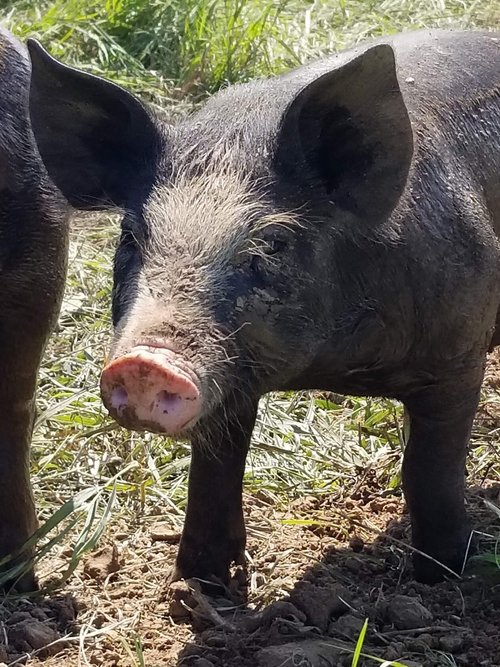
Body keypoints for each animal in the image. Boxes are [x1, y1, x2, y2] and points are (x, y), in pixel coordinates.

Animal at [28, 29, 500, 585]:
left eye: (273, 243)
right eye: (130, 236)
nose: (146, 363)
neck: (334, 367)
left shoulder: (458, 355)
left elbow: (430, 469)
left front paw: (444, 575)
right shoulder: (230, 376)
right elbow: (215, 465)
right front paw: (199, 580)